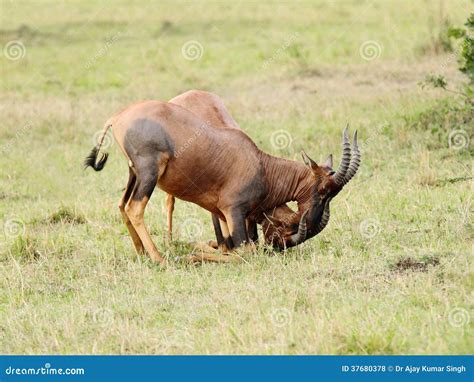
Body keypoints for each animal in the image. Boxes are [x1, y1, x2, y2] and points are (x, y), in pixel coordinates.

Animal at [84, 92, 360, 262]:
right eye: (323, 190)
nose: (312, 222)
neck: (260, 164)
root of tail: (118, 117)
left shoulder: (223, 213)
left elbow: (230, 246)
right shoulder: (233, 211)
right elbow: (243, 250)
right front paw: (191, 256)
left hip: (134, 173)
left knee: (122, 204)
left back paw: (142, 252)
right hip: (148, 172)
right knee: (136, 208)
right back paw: (160, 258)